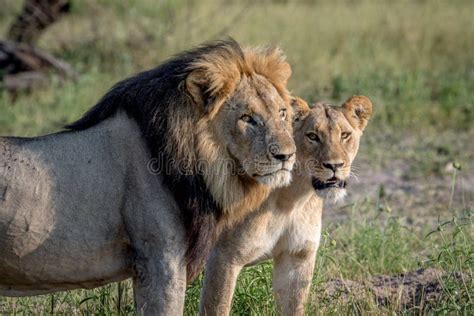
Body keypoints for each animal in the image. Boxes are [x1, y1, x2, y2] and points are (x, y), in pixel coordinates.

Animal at [198, 95, 372, 314]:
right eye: (312, 136)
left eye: (345, 135)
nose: (335, 165)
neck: (291, 199)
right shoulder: (223, 258)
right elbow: (217, 307)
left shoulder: (297, 258)